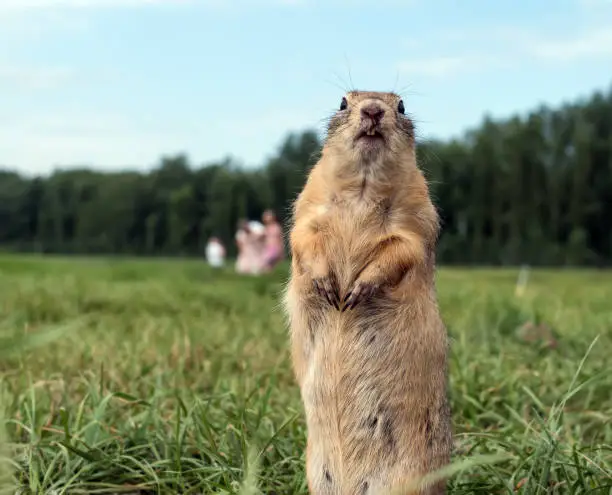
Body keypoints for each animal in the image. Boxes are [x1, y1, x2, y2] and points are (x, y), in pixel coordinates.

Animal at [284, 91, 452, 494]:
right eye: (343, 102)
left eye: (402, 105)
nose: (373, 109)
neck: (362, 189)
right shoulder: (308, 207)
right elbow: (302, 237)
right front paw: (328, 287)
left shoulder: (416, 217)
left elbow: (402, 249)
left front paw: (357, 291)